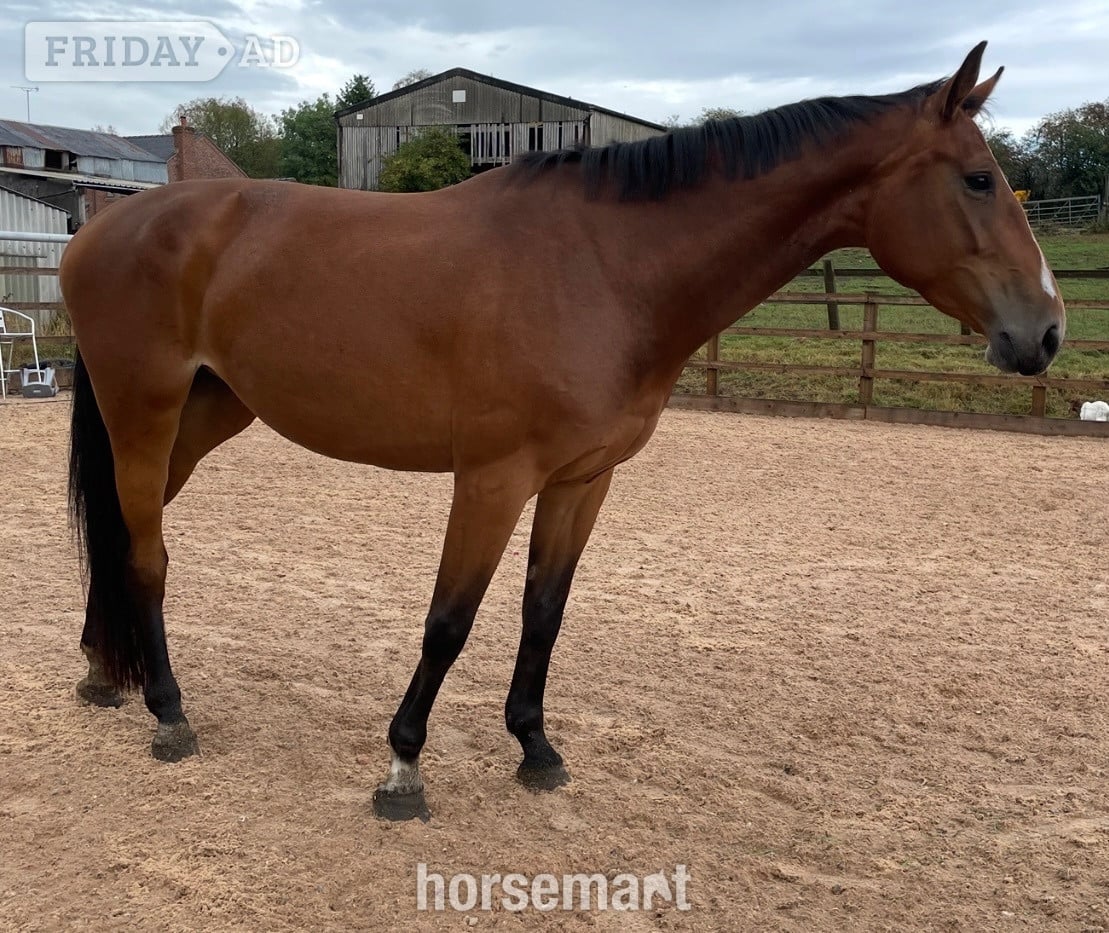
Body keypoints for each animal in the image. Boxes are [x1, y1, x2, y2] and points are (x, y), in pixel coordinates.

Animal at [61, 42, 1064, 821]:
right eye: (978, 179)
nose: (1046, 331)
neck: (604, 268)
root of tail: (100, 228)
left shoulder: (582, 479)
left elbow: (542, 610)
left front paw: (535, 749)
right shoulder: (492, 478)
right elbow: (448, 620)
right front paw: (402, 766)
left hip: (202, 418)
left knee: (121, 537)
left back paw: (105, 677)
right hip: (146, 413)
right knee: (148, 554)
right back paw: (168, 712)